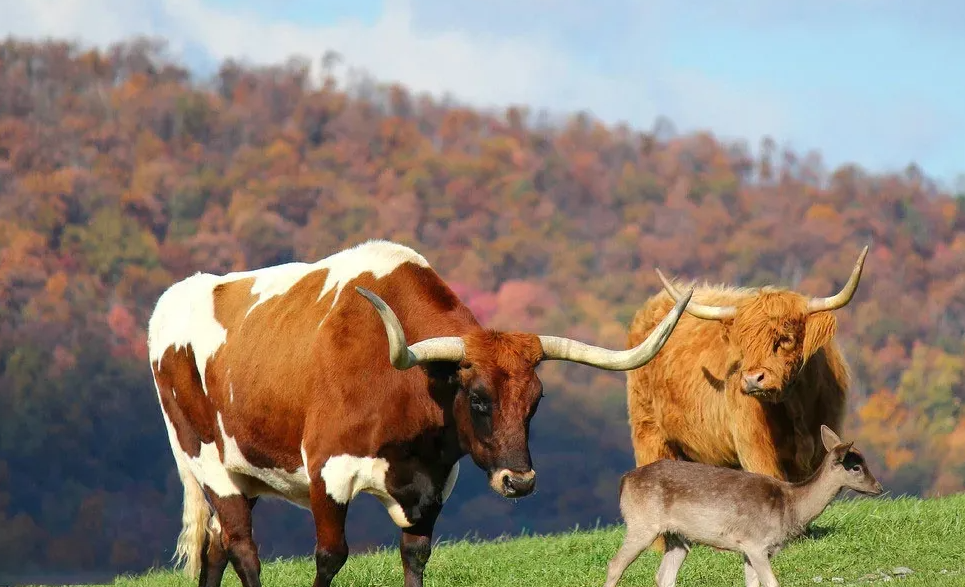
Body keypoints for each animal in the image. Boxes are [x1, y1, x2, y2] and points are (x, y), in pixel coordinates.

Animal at [149, 240, 692, 587]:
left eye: (535, 401)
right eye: (478, 398)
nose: (519, 482)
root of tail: (174, 299)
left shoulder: (432, 487)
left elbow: (415, 556)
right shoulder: (327, 470)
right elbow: (329, 557)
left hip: (242, 473)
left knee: (216, 545)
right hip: (207, 460)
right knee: (243, 548)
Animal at [620, 245, 868, 486]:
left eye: (786, 338)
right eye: (744, 344)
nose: (752, 379)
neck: (796, 405)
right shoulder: (756, 449)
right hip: (649, 433)